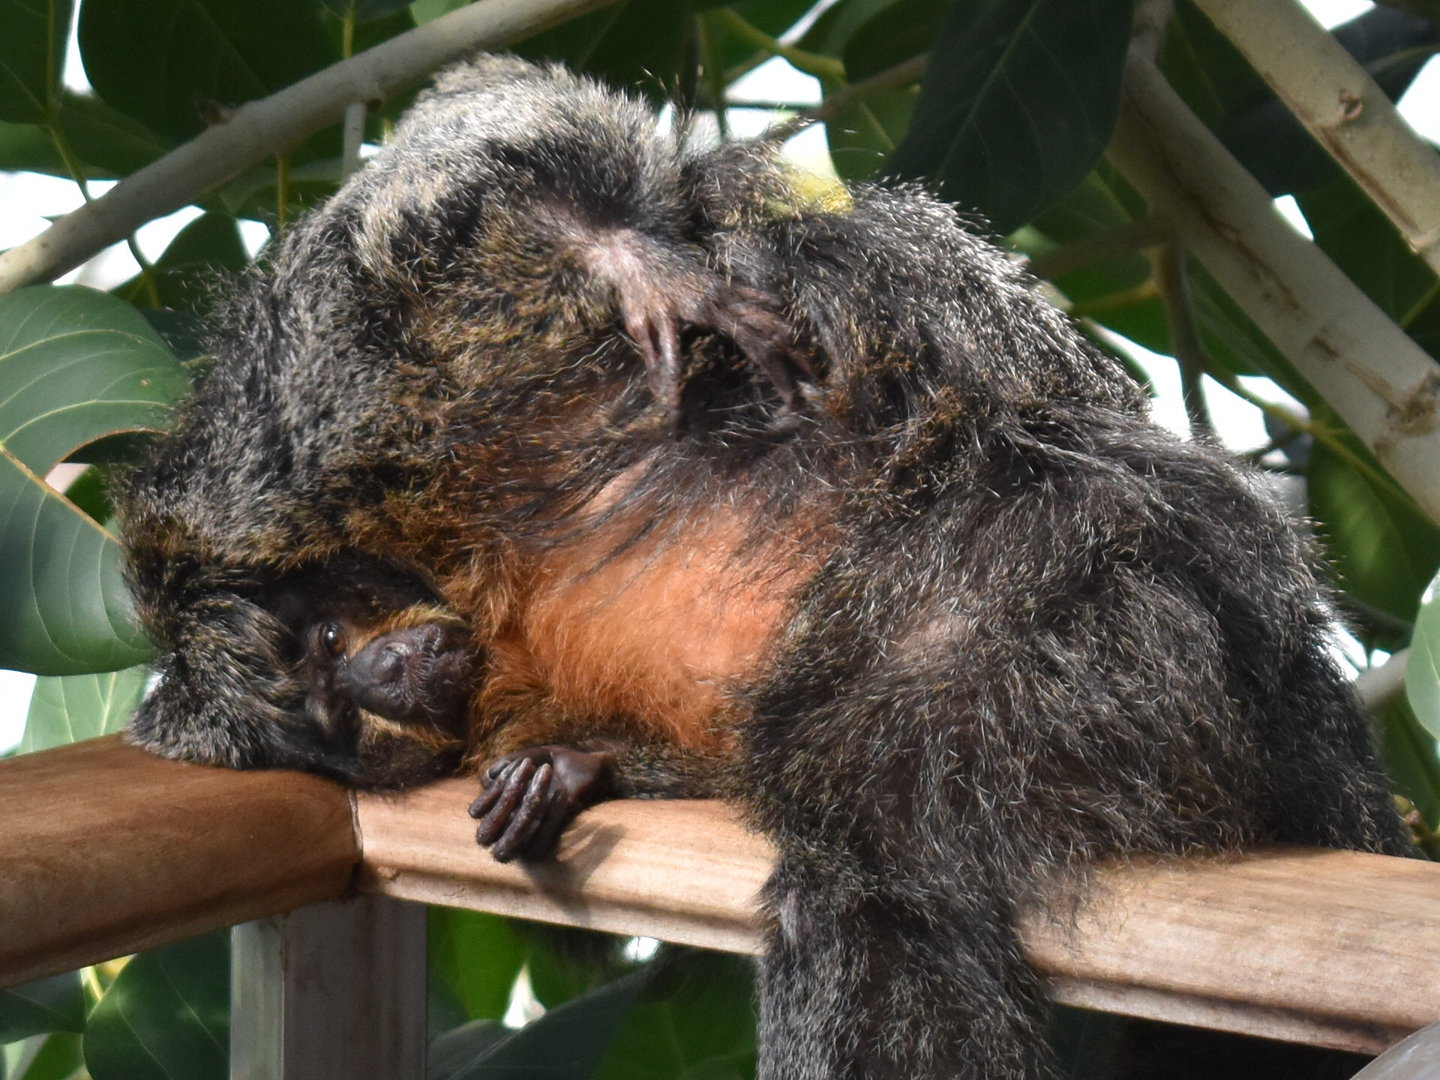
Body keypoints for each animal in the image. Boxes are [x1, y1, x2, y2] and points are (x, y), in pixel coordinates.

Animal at [115, 54, 1411, 1080]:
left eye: (330, 647)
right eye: (334, 715)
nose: (380, 684)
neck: (462, 572)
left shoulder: (307, 407)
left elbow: (477, 145)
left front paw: (635, 260)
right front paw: (576, 770)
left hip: (1095, 562)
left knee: (887, 821)